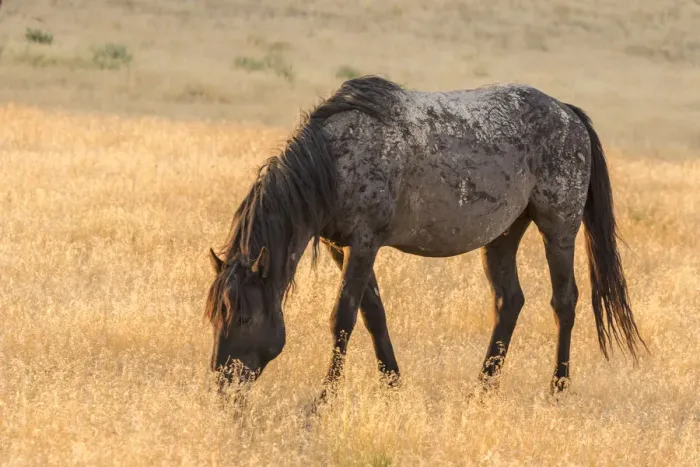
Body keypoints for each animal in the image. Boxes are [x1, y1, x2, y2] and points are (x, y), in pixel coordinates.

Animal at [204, 76, 645, 400]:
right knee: (510, 302)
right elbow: (373, 314)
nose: (223, 381)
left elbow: (343, 318)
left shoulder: (364, 244)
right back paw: (482, 388)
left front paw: (324, 399)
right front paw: (392, 383)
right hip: (502, 236)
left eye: (243, 316)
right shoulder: (341, 248)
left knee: (564, 301)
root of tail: (569, 113)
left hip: (559, 229)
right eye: (215, 315)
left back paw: (557, 387)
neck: (334, 161)